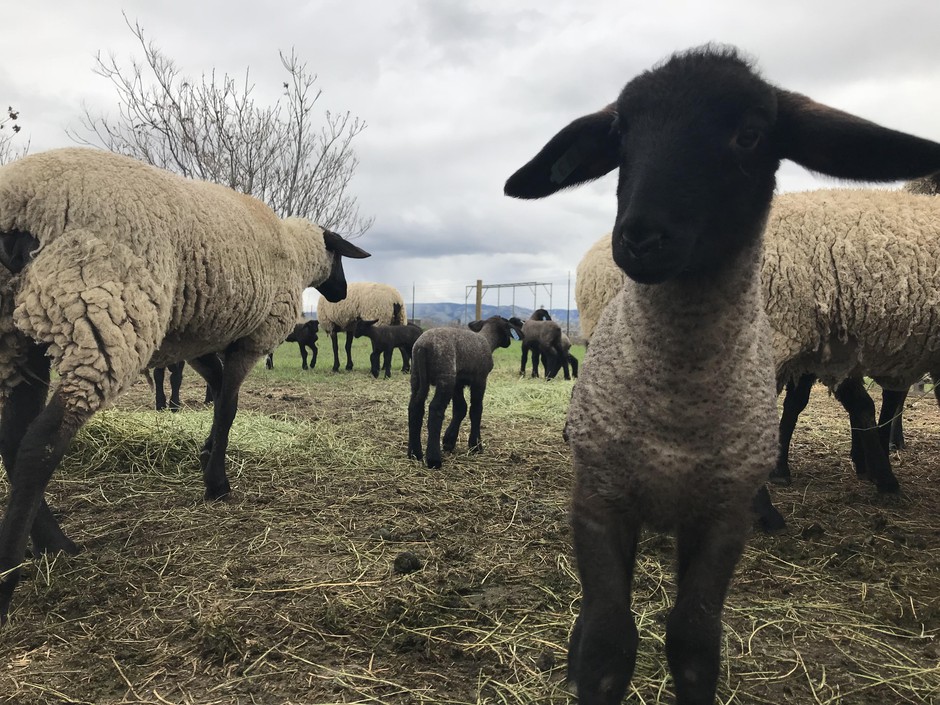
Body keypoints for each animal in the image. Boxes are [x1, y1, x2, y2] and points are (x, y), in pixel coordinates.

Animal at [0, 147, 370, 616]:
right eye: (338, 257)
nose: (341, 294)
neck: (293, 252)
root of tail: (19, 201)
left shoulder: (200, 341)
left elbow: (220, 395)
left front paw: (206, 452)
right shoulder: (254, 336)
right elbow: (228, 407)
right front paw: (216, 482)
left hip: (17, 334)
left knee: (13, 438)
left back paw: (52, 543)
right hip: (100, 309)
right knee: (39, 444)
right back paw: (19, 570)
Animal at [406, 316, 516, 464]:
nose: (509, 343)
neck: (487, 340)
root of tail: (422, 346)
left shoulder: (458, 383)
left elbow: (460, 408)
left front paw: (449, 441)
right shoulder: (480, 380)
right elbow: (476, 409)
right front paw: (476, 446)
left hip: (416, 376)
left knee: (415, 408)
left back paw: (414, 453)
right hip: (445, 376)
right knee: (435, 409)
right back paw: (434, 459)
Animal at [506, 42, 940, 704]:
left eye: (750, 135)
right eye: (621, 134)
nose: (639, 238)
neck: (675, 406)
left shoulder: (721, 520)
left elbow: (694, 642)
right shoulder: (600, 503)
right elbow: (608, 640)